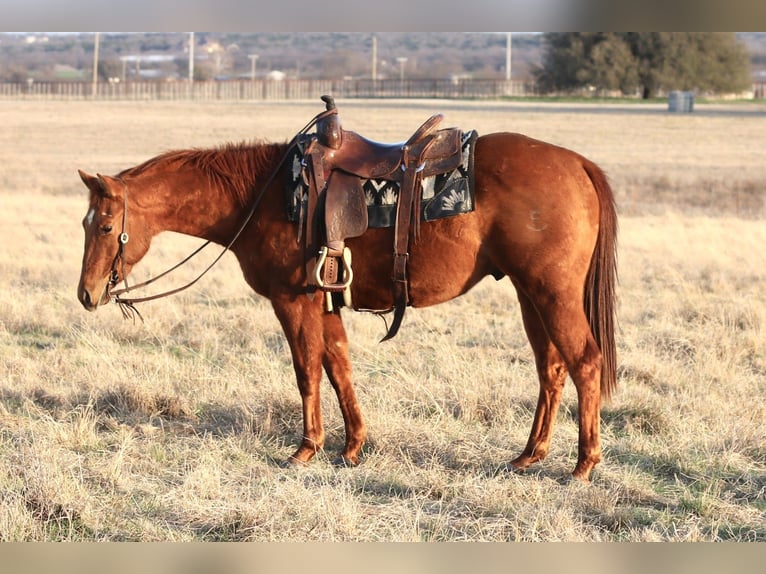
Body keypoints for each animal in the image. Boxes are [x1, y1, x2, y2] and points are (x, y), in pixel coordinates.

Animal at [76, 120, 617, 482]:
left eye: (103, 226)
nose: (87, 293)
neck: (264, 195)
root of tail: (578, 164)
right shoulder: (325, 302)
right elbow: (338, 367)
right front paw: (353, 446)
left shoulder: (293, 302)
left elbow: (307, 372)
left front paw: (306, 448)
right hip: (531, 296)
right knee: (551, 368)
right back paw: (530, 454)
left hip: (552, 294)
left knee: (585, 362)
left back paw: (583, 464)